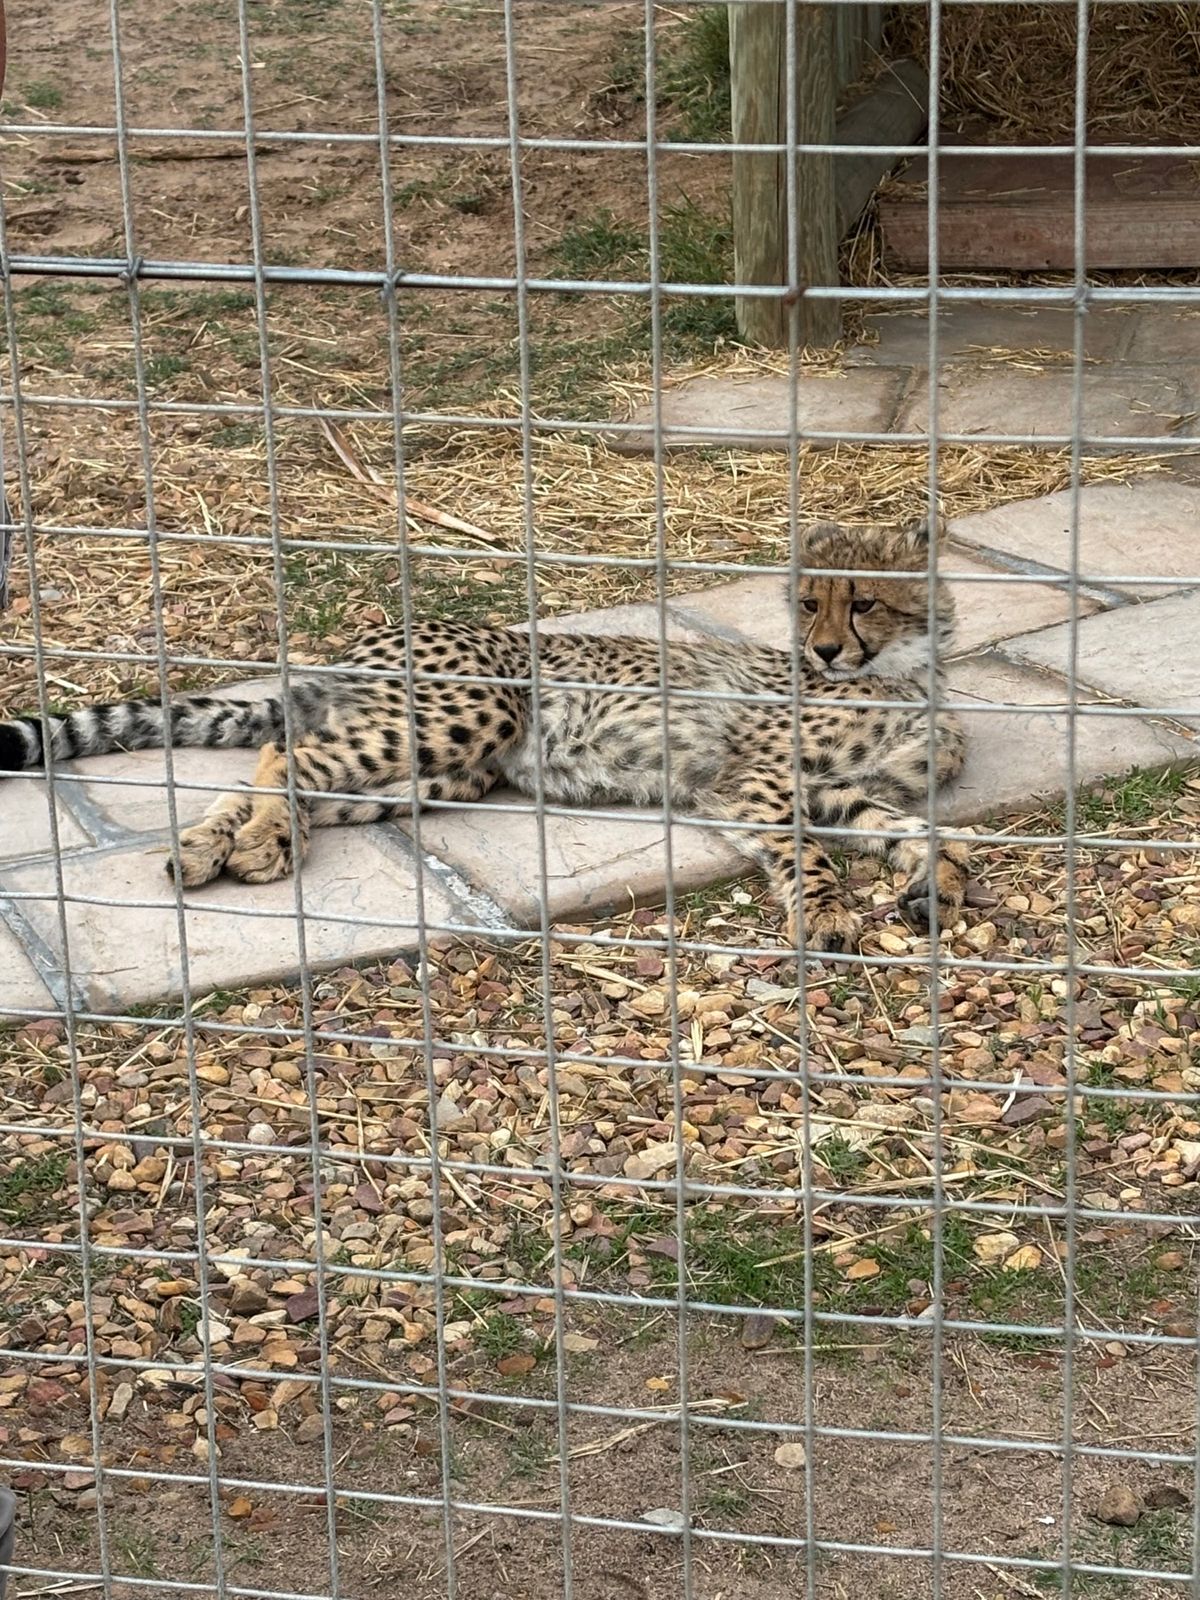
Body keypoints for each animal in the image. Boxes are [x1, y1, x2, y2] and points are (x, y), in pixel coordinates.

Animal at [0, 517, 969, 955]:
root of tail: (365, 643)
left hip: (445, 771)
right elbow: (806, 848)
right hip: (474, 712)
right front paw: (830, 911)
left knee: (290, 780)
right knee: (287, 756)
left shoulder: (831, 787)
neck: (904, 672)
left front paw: (940, 876)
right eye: (810, 602)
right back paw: (256, 844)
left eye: (864, 601)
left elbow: (911, 825)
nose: (825, 648)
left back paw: (216, 847)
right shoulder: (753, 776)